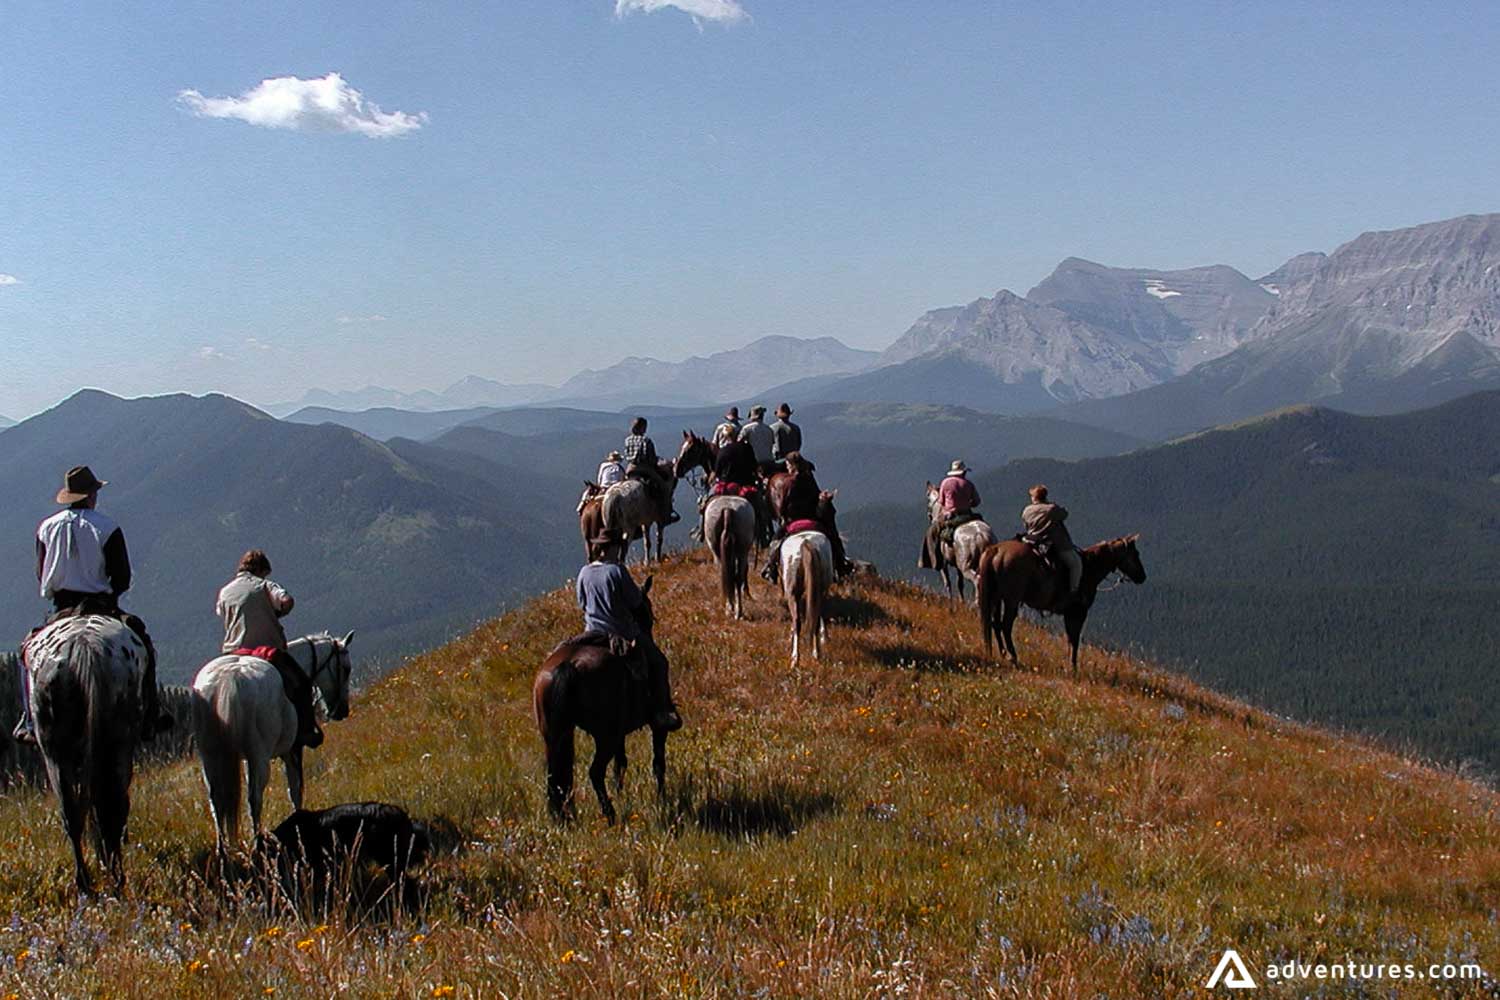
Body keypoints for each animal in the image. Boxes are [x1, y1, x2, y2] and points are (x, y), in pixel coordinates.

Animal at [192, 632, 355, 851]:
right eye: (346, 669)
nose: (342, 711)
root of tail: (227, 681)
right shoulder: (293, 750)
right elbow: (295, 790)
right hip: (259, 756)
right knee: (254, 799)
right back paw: (257, 843)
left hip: (210, 756)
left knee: (216, 800)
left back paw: (223, 850)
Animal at [786, 527, 834, 668]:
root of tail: (805, 543)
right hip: (820, 591)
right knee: (816, 619)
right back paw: (816, 654)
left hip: (792, 592)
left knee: (797, 621)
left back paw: (795, 659)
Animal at [972, 536, 1146, 677]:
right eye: (1136, 554)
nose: (1142, 577)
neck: (1090, 568)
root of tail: (996, 550)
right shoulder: (1077, 613)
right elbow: (1074, 640)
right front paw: (1073, 668)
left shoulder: (1069, 614)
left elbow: (1070, 639)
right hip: (1011, 601)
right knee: (1005, 626)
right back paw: (1013, 657)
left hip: (997, 598)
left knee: (994, 624)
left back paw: (1000, 653)